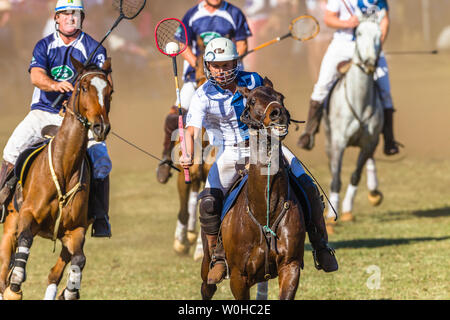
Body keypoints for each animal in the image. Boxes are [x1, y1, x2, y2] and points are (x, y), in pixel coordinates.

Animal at [0, 55, 112, 300]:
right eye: (83, 87)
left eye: (110, 90)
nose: (101, 127)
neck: (64, 168)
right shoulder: (27, 216)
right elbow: (23, 245)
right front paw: (16, 284)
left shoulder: (76, 230)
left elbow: (78, 260)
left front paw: (70, 291)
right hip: (10, 223)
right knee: (3, 271)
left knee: (55, 272)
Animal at [200, 79, 306, 300]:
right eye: (252, 101)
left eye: (281, 96)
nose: (278, 113)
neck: (265, 209)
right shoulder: (238, 278)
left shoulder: (290, 266)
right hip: (207, 264)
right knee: (207, 286)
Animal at [324, 10, 386, 225]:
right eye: (358, 33)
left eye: (379, 35)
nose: (369, 63)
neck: (360, 101)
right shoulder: (338, 142)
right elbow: (335, 179)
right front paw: (331, 216)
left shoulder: (369, 142)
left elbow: (355, 176)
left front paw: (348, 210)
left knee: (370, 161)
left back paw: (374, 191)